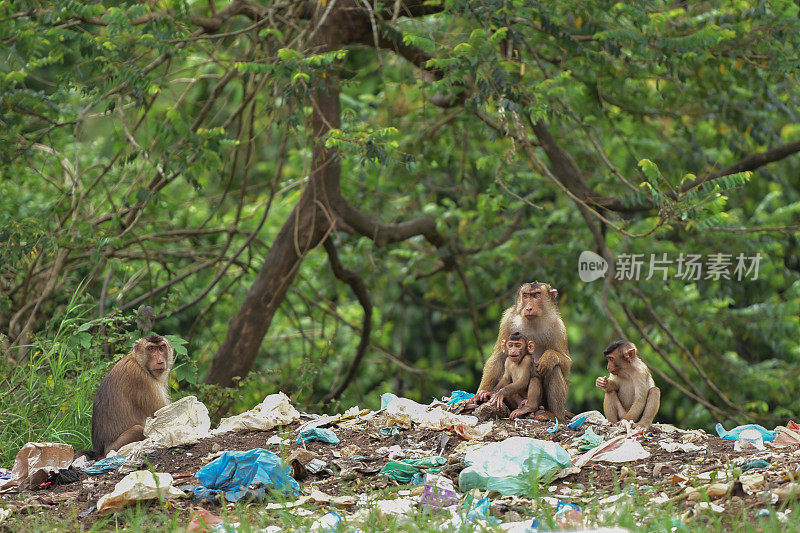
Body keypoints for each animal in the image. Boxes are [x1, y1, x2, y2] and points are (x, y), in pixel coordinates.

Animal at [472, 282, 572, 420]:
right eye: (526, 295)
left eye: (536, 295)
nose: (529, 308)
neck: (533, 321)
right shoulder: (508, 319)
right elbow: (498, 357)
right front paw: (484, 392)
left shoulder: (559, 327)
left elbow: (566, 364)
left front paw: (549, 357)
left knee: (554, 369)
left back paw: (553, 414)